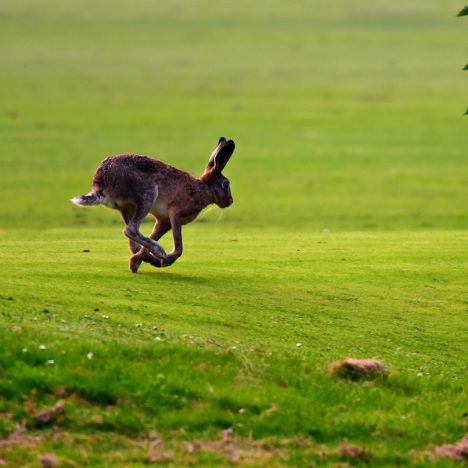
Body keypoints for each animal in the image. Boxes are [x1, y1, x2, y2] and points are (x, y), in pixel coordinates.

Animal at [71, 137, 235, 272]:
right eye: (226, 184)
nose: (230, 201)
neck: (203, 188)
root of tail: (100, 183)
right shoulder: (175, 213)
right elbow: (179, 246)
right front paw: (166, 260)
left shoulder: (164, 222)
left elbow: (153, 237)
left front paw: (138, 262)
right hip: (148, 194)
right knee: (131, 230)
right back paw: (160, 252)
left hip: (128, 208)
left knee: (134, 241)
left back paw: (151, 260)